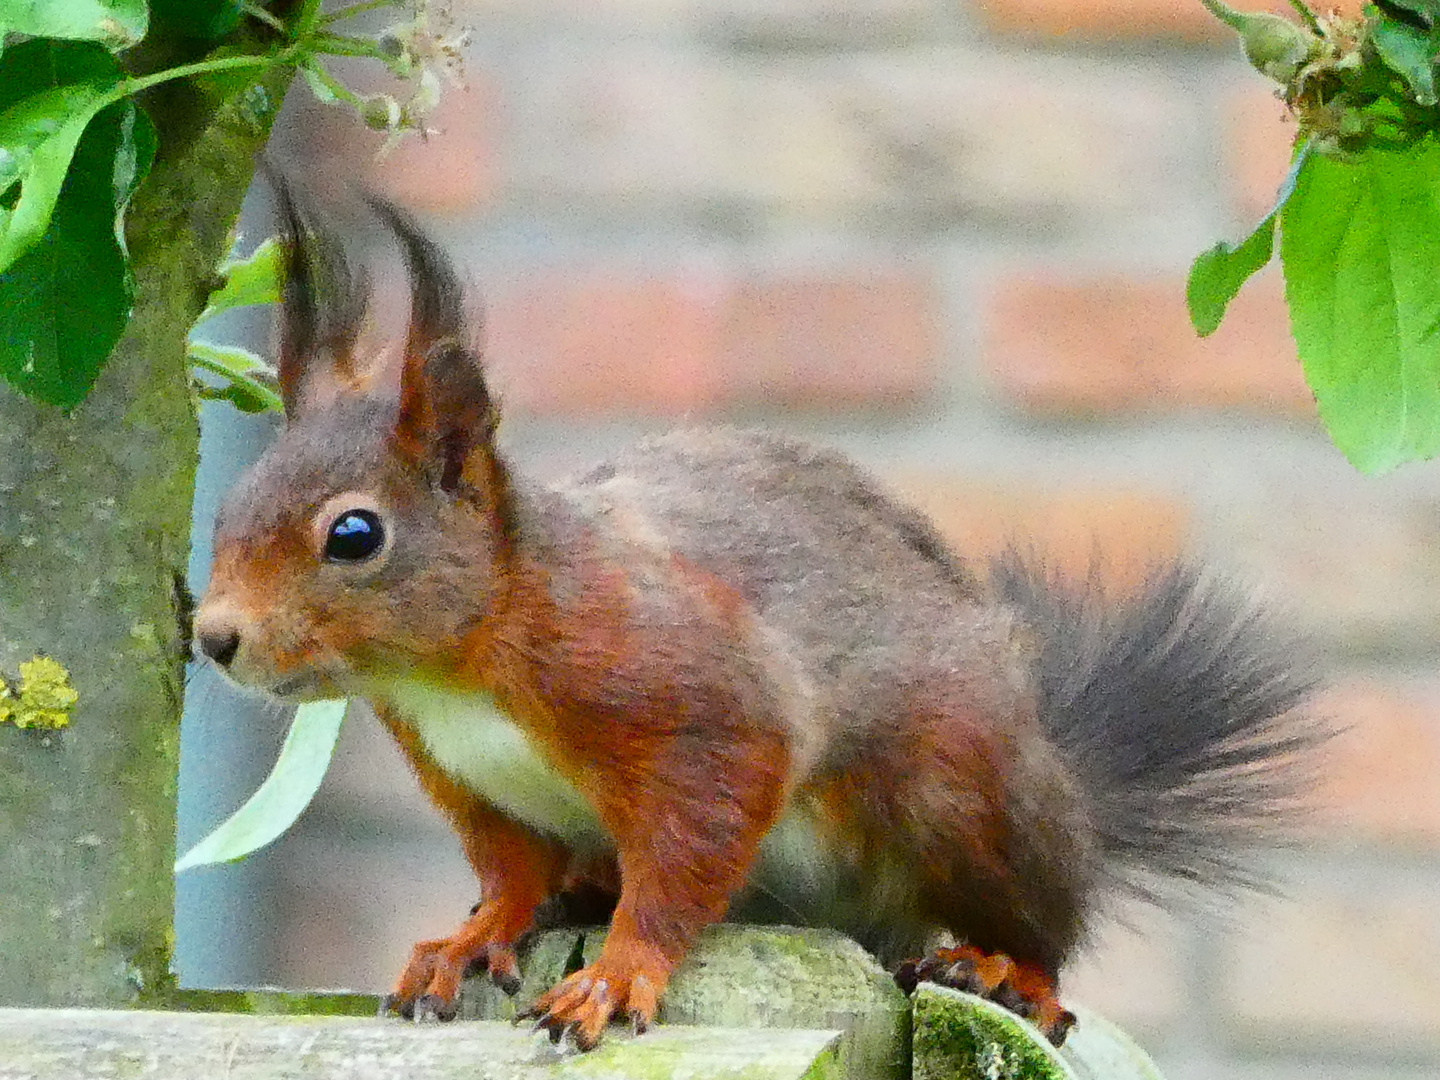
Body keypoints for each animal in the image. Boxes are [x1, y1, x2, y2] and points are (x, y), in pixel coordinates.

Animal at [197, 185, 1319, 1048]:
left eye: (354, 535)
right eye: (229, 507)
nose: (214, 638)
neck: (457, 671)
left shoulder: (689, 701)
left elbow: (690, 849)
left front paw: (618, 974)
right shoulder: (475, 785)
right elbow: (510, 872)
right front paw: (476, 936)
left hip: (961, 792)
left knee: (1047, 923)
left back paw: (1012, 973)